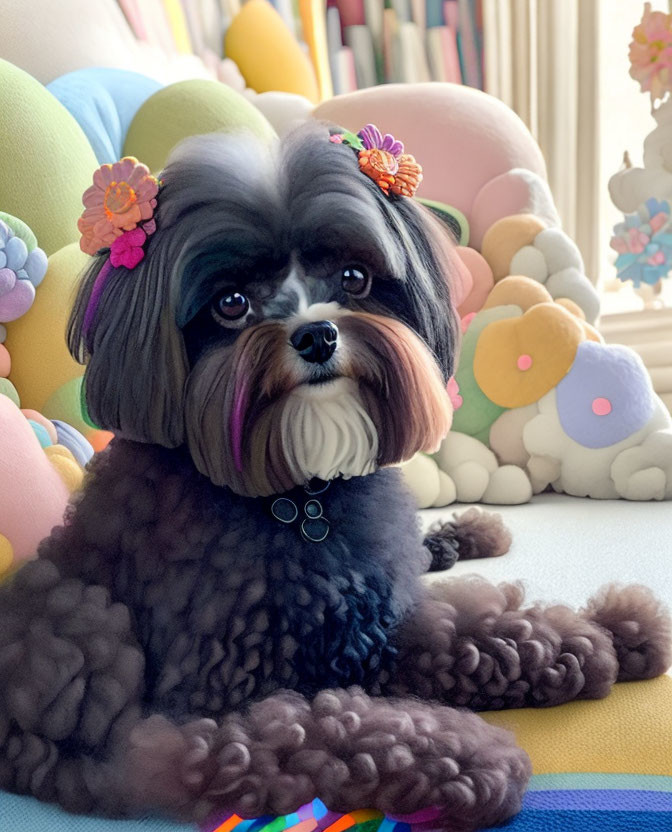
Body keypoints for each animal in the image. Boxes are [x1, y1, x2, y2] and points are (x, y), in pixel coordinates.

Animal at [0, 123, 668, 832]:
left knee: (425, 555)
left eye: (354, 276)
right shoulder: (205, 714)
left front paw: (595, 633)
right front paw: (467, 755)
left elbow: (469, 623)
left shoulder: (377, 616)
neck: (303, 500)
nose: (316, 334)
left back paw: (473, 536)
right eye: (231, 302)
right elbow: (324, 730)